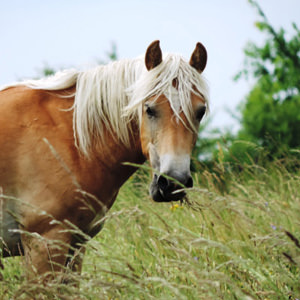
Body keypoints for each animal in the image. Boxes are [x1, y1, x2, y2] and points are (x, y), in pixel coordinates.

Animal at [0, 40, 209, 282]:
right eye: (149, 109)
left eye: (200, 111)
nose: (173, 183)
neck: (72, 140)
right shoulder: (44, 245)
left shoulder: (75, 246)